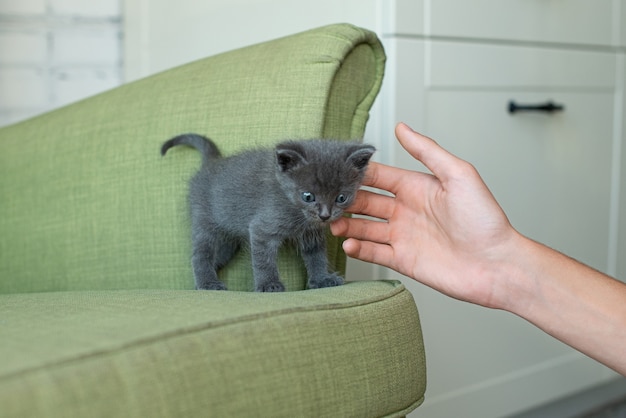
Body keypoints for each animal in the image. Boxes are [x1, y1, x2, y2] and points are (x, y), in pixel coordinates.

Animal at [162, 136, 376, 292]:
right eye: (308, 196)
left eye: (341, 197)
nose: (325, 215)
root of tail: (212, 164)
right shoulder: (262, 228)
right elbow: (263, 260)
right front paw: (268, 285)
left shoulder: (310, 234)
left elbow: (316, 256)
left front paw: (321, 279)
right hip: (204, 220)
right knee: (200, 254)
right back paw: (208, 283)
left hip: (229, 239)